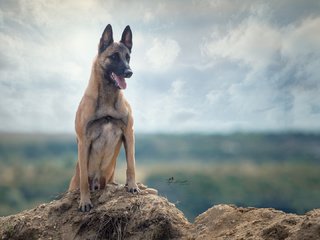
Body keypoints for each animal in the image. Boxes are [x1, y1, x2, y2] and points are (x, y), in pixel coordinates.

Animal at [69, 24, 139, 212]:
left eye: (128, 57)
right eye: (114, 56)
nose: (129, 72)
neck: (108, 98)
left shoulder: (128, 133)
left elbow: (131, 165)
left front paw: (132, 186)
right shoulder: (84, 140)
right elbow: (84, 180)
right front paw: (85, 201)